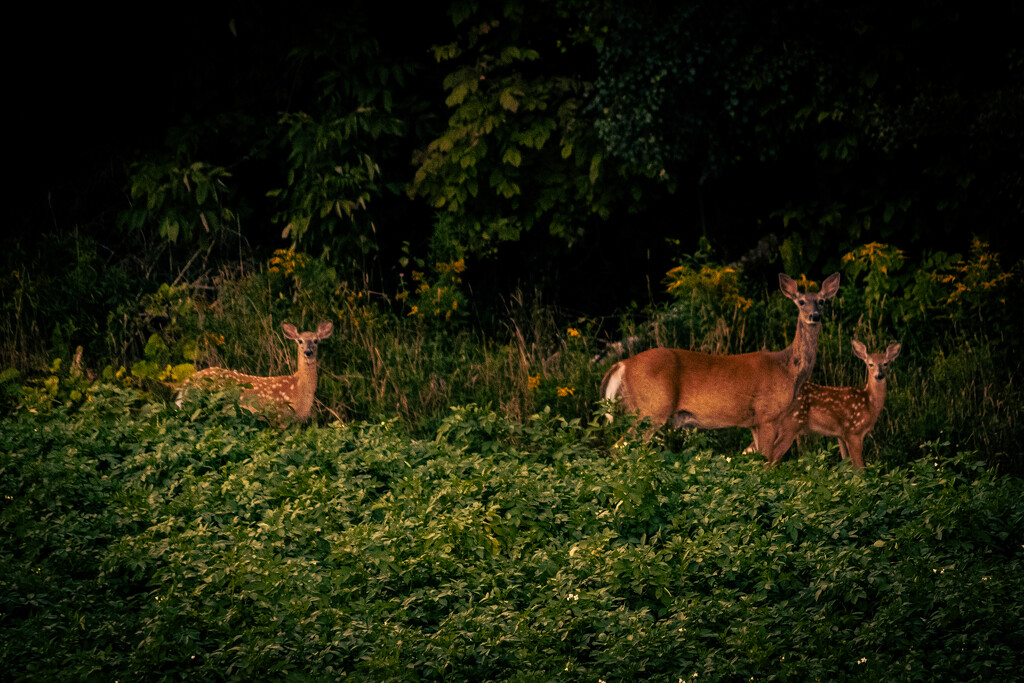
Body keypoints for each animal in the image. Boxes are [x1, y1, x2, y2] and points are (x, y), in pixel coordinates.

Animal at [178, 321, 333, 421]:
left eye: (316, 340)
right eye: (300, 341)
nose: (308, 352)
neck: (298, 387)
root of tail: (185, 384)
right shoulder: (279, 416)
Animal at [598, 272, 839, 464]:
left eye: (822, 301)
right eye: (801, 302)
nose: (814, 316)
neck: (787, 369)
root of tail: (623, 364)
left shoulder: (753, 422)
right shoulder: (766, 415)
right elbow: (767, 461)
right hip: (652, 408)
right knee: (620, 446)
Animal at [745, 339, 905, 466]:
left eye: (886, 363)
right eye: (870, 364)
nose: (879, 375)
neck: (869, 402)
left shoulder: (841, 435)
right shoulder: (853, 430)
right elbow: (860, 468)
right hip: (791, 424)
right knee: (772, 455)